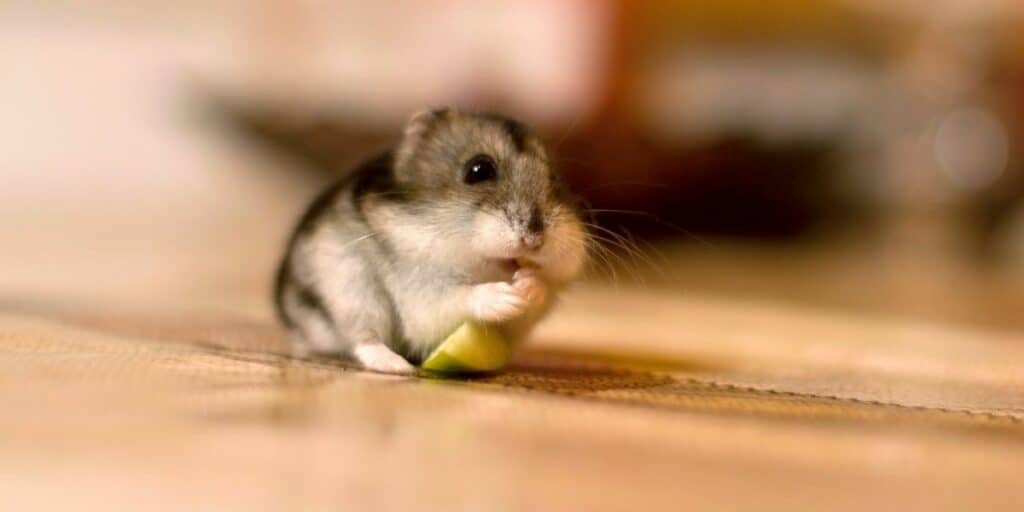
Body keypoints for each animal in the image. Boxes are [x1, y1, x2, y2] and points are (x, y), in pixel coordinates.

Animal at [272, 108, 589, 374]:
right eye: (479, 169)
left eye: (554, 178)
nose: (534, 240)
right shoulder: (420, 296)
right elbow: (457, 296)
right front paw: (506, 297)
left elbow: (539, 291)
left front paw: (529, 284)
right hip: (352, 289)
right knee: (363, 338)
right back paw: (398, 367)